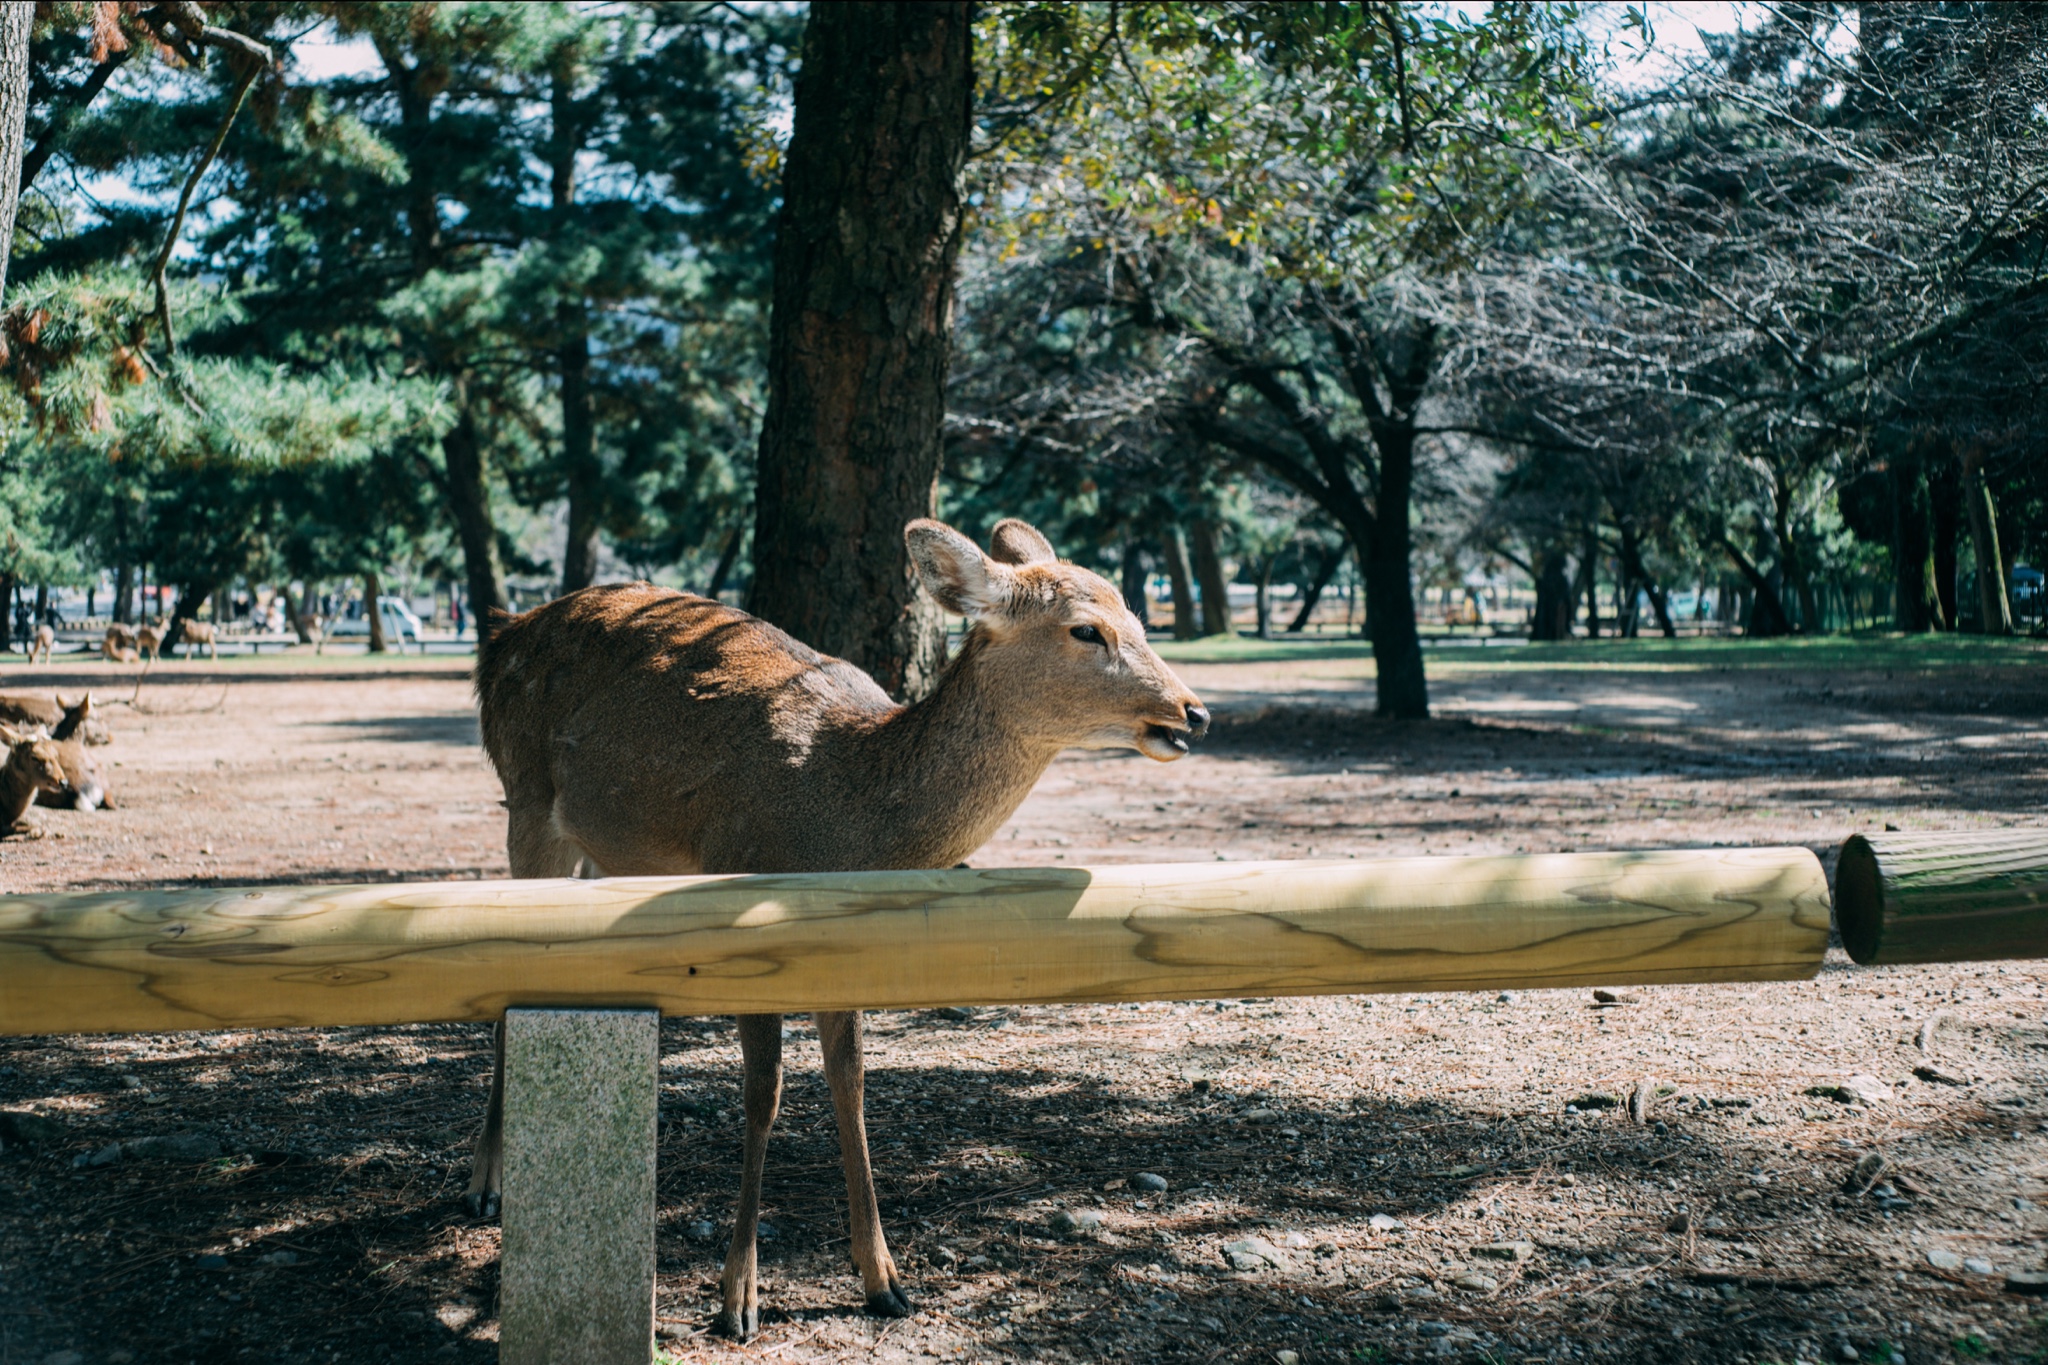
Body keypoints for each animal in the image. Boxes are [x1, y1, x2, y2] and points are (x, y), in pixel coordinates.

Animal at [471, 517, 1204, 1342]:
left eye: (1139, 616)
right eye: (1086, 628)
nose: (1193, 712)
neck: (844, 809)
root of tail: (502, 634)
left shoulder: (842, 942)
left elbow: (849, 1079)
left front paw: (884, 1277)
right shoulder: (739, 893)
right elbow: (764, 1089)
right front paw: (738, 1296)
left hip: (608, 848)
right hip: (525, 794)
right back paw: (487, 1181)